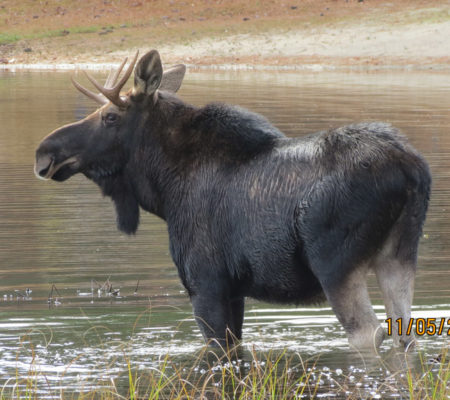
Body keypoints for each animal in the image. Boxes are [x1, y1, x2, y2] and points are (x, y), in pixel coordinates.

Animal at [34, 49, 428, 350]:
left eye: (110, 116)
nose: (44, 152)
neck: (164, 189)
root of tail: (411, 170)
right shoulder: (235, 290)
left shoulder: (205, 284)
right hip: (399, 255)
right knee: (404, 332)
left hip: (335, 264)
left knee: (369, 335)